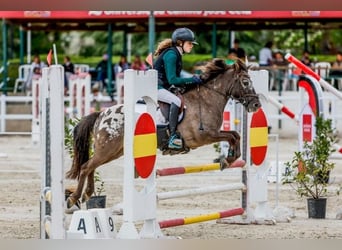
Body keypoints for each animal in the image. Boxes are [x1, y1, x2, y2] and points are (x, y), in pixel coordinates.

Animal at [65, 57, 260, 208]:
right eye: (245, 82)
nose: (256, 105)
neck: (206, 99)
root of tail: (102, 114)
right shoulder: (204, 136)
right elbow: (231, 135)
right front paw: (227, 159)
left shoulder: (213, 133)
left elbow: (235, 135)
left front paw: (230, 158)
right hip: (108, 149)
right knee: (86, 167)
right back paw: (74, 198)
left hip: (114, 151)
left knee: (91, 166)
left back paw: (86, 194)